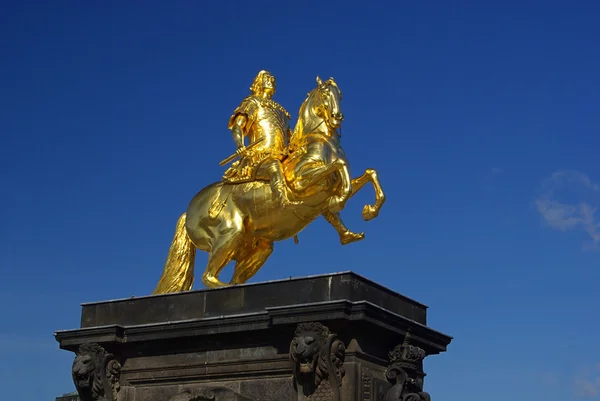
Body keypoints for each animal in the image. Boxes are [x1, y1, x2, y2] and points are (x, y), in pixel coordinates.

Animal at [155, 77, 386, 290]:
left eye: (340, 94)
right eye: (326, 94)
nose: (338, 117)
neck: (320, 141)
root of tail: (188, 211)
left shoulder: (330, 187)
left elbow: (369, 174)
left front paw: (368, 211)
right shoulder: (300, 183)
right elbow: (339, 166)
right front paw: (340, 201)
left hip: (256, 247)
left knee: (233, 277)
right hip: (230, 233)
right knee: (209, 277)